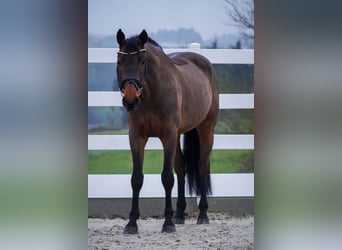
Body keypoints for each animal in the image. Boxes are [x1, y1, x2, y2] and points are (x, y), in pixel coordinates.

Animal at [115, 29, 219, 234]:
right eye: (120, 61)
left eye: (142, 61)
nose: (130, 100)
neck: (152, 94)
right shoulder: (136, 137)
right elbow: (137, 178)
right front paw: (132, 223)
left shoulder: (168, 135)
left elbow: (167, 177)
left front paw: (168, 223)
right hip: (179, 135)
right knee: (181, 167)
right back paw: (179, 214)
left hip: (206, 129)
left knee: (202, 167)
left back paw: (202, 215)